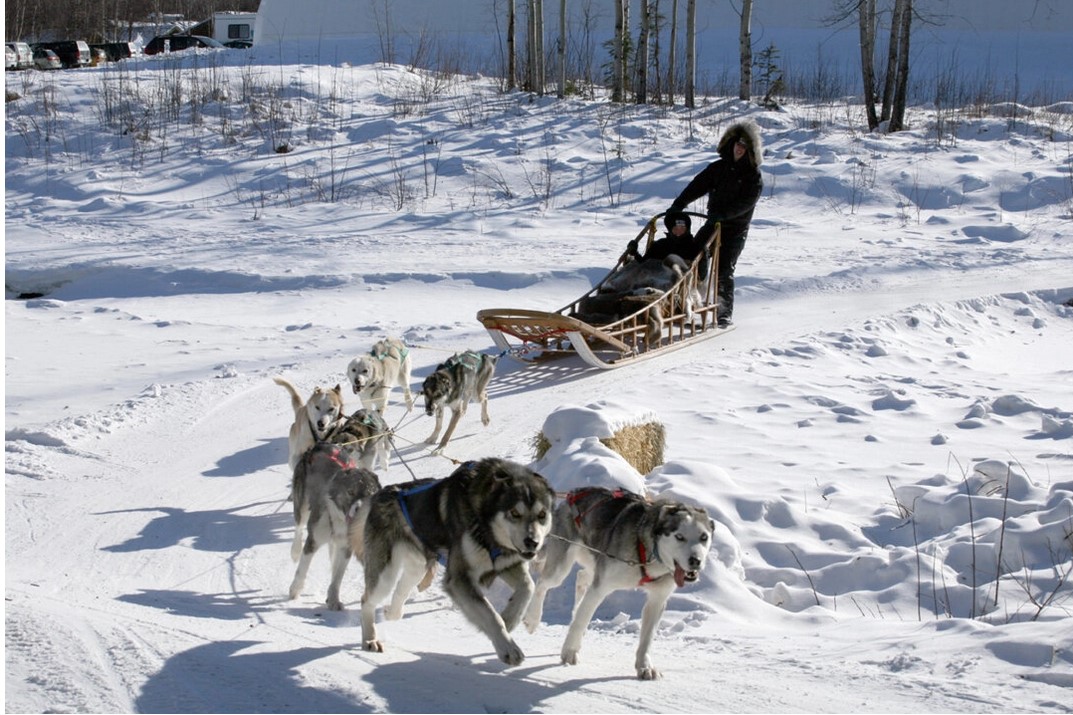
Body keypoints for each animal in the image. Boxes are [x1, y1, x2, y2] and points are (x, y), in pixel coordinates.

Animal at [358, 457, 553, 661]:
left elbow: (528, 586)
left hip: (417, 569)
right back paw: (370, 639)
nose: (532, 542)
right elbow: (490, 615)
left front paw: (510, 618)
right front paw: (508, 647)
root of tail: (382, 493)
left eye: (542, 515)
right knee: (367, 600)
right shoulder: (460, 579)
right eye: (515, 513)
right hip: (385, 576)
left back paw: (391, 613)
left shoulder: (506, 564)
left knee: (399, 593)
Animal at [521, 485, 712, 678]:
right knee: (542, 584)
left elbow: (647, 638)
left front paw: (644, 666)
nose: (696, 561)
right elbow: (580, 622)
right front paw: (569, 652)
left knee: (581, 577)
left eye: (704, 537)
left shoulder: (657, 600)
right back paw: (532, 618)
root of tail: (574, 493)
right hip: (561, 568)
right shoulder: (600, 588)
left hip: (594, 560)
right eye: (679, 536)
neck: (648, 553)